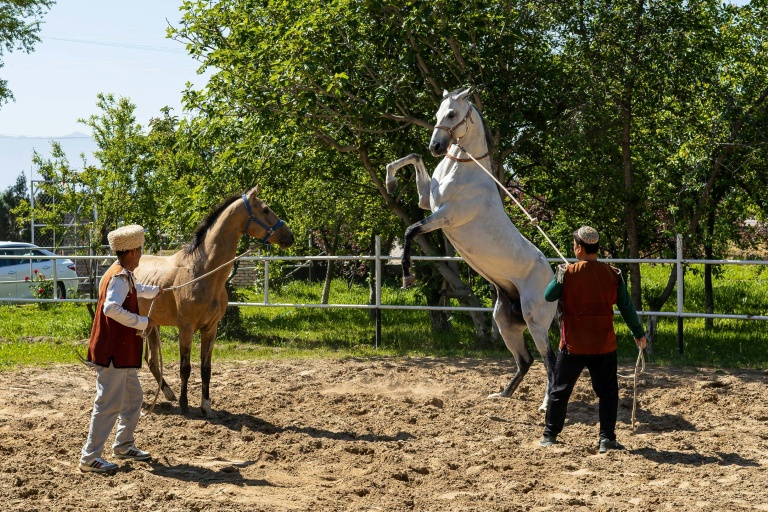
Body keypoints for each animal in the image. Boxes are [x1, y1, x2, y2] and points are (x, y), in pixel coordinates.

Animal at [134, 185, 294, 416]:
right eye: (265, 209)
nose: (289, 237)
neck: (202, 271)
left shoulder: (210, 329)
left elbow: (205, 369)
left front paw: (206, 406)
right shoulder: (186, 328)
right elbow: (185, 368)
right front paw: (185, 405)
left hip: (151, 325)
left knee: (151, 360)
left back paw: (168, 394)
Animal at [385, 88, 558, 411]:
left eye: (453, 114)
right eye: (438, 112)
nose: (436, 146)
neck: (462, 170)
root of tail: (557, 276)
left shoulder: (445, 216)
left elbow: (410, 231)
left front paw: (407, 277)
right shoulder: (428, 203)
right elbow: (413, 158)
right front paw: (390, 181)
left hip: (535, 321)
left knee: (550, 360)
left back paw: (545, 406)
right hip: (505, 321)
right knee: (526, 360)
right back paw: (502, 395)